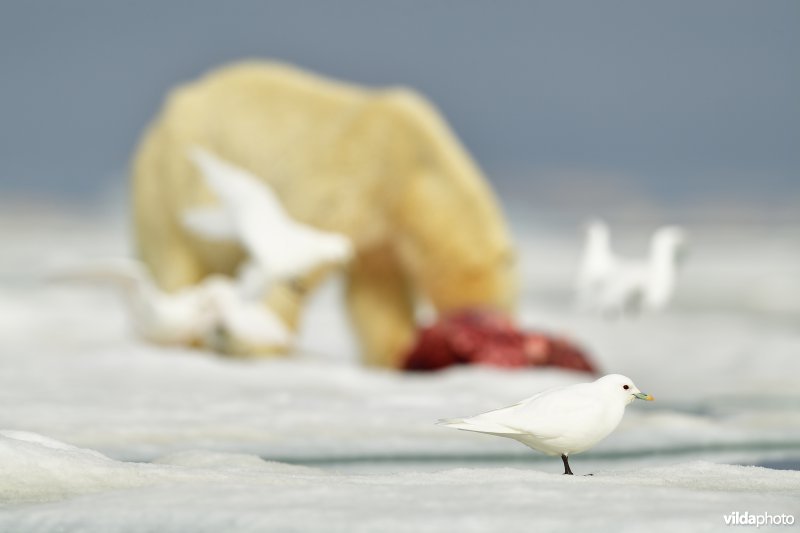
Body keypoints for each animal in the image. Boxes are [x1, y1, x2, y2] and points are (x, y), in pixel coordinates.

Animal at [130, 59, 520, 366]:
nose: (497, 332)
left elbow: (375, 295)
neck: (412, 168)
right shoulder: (351, 182)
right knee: (178, 260)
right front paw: (253, 344)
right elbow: (301, 253)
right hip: (169, 185)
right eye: (485, 320)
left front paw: (394, 352)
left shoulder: (381, 234)